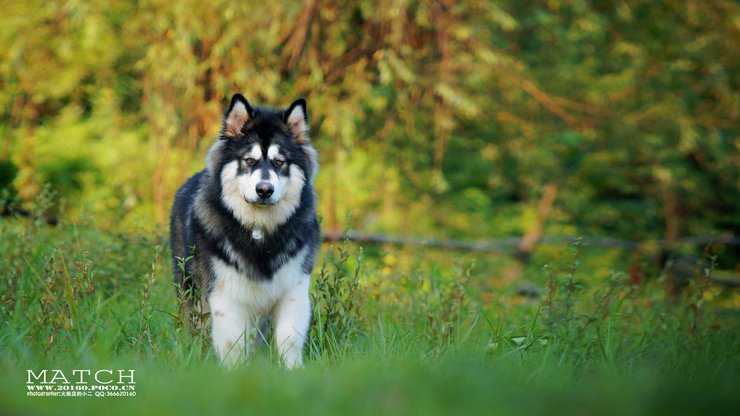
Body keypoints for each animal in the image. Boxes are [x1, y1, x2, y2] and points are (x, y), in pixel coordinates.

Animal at [171, 93, 320, 368]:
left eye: (279, 162)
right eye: (249, 160)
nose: (264, 189)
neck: (259, 231)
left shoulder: (293, 290)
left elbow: (288, 339)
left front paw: (292, 370)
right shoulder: (225, 294)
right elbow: (233, 344)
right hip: (190, 288)